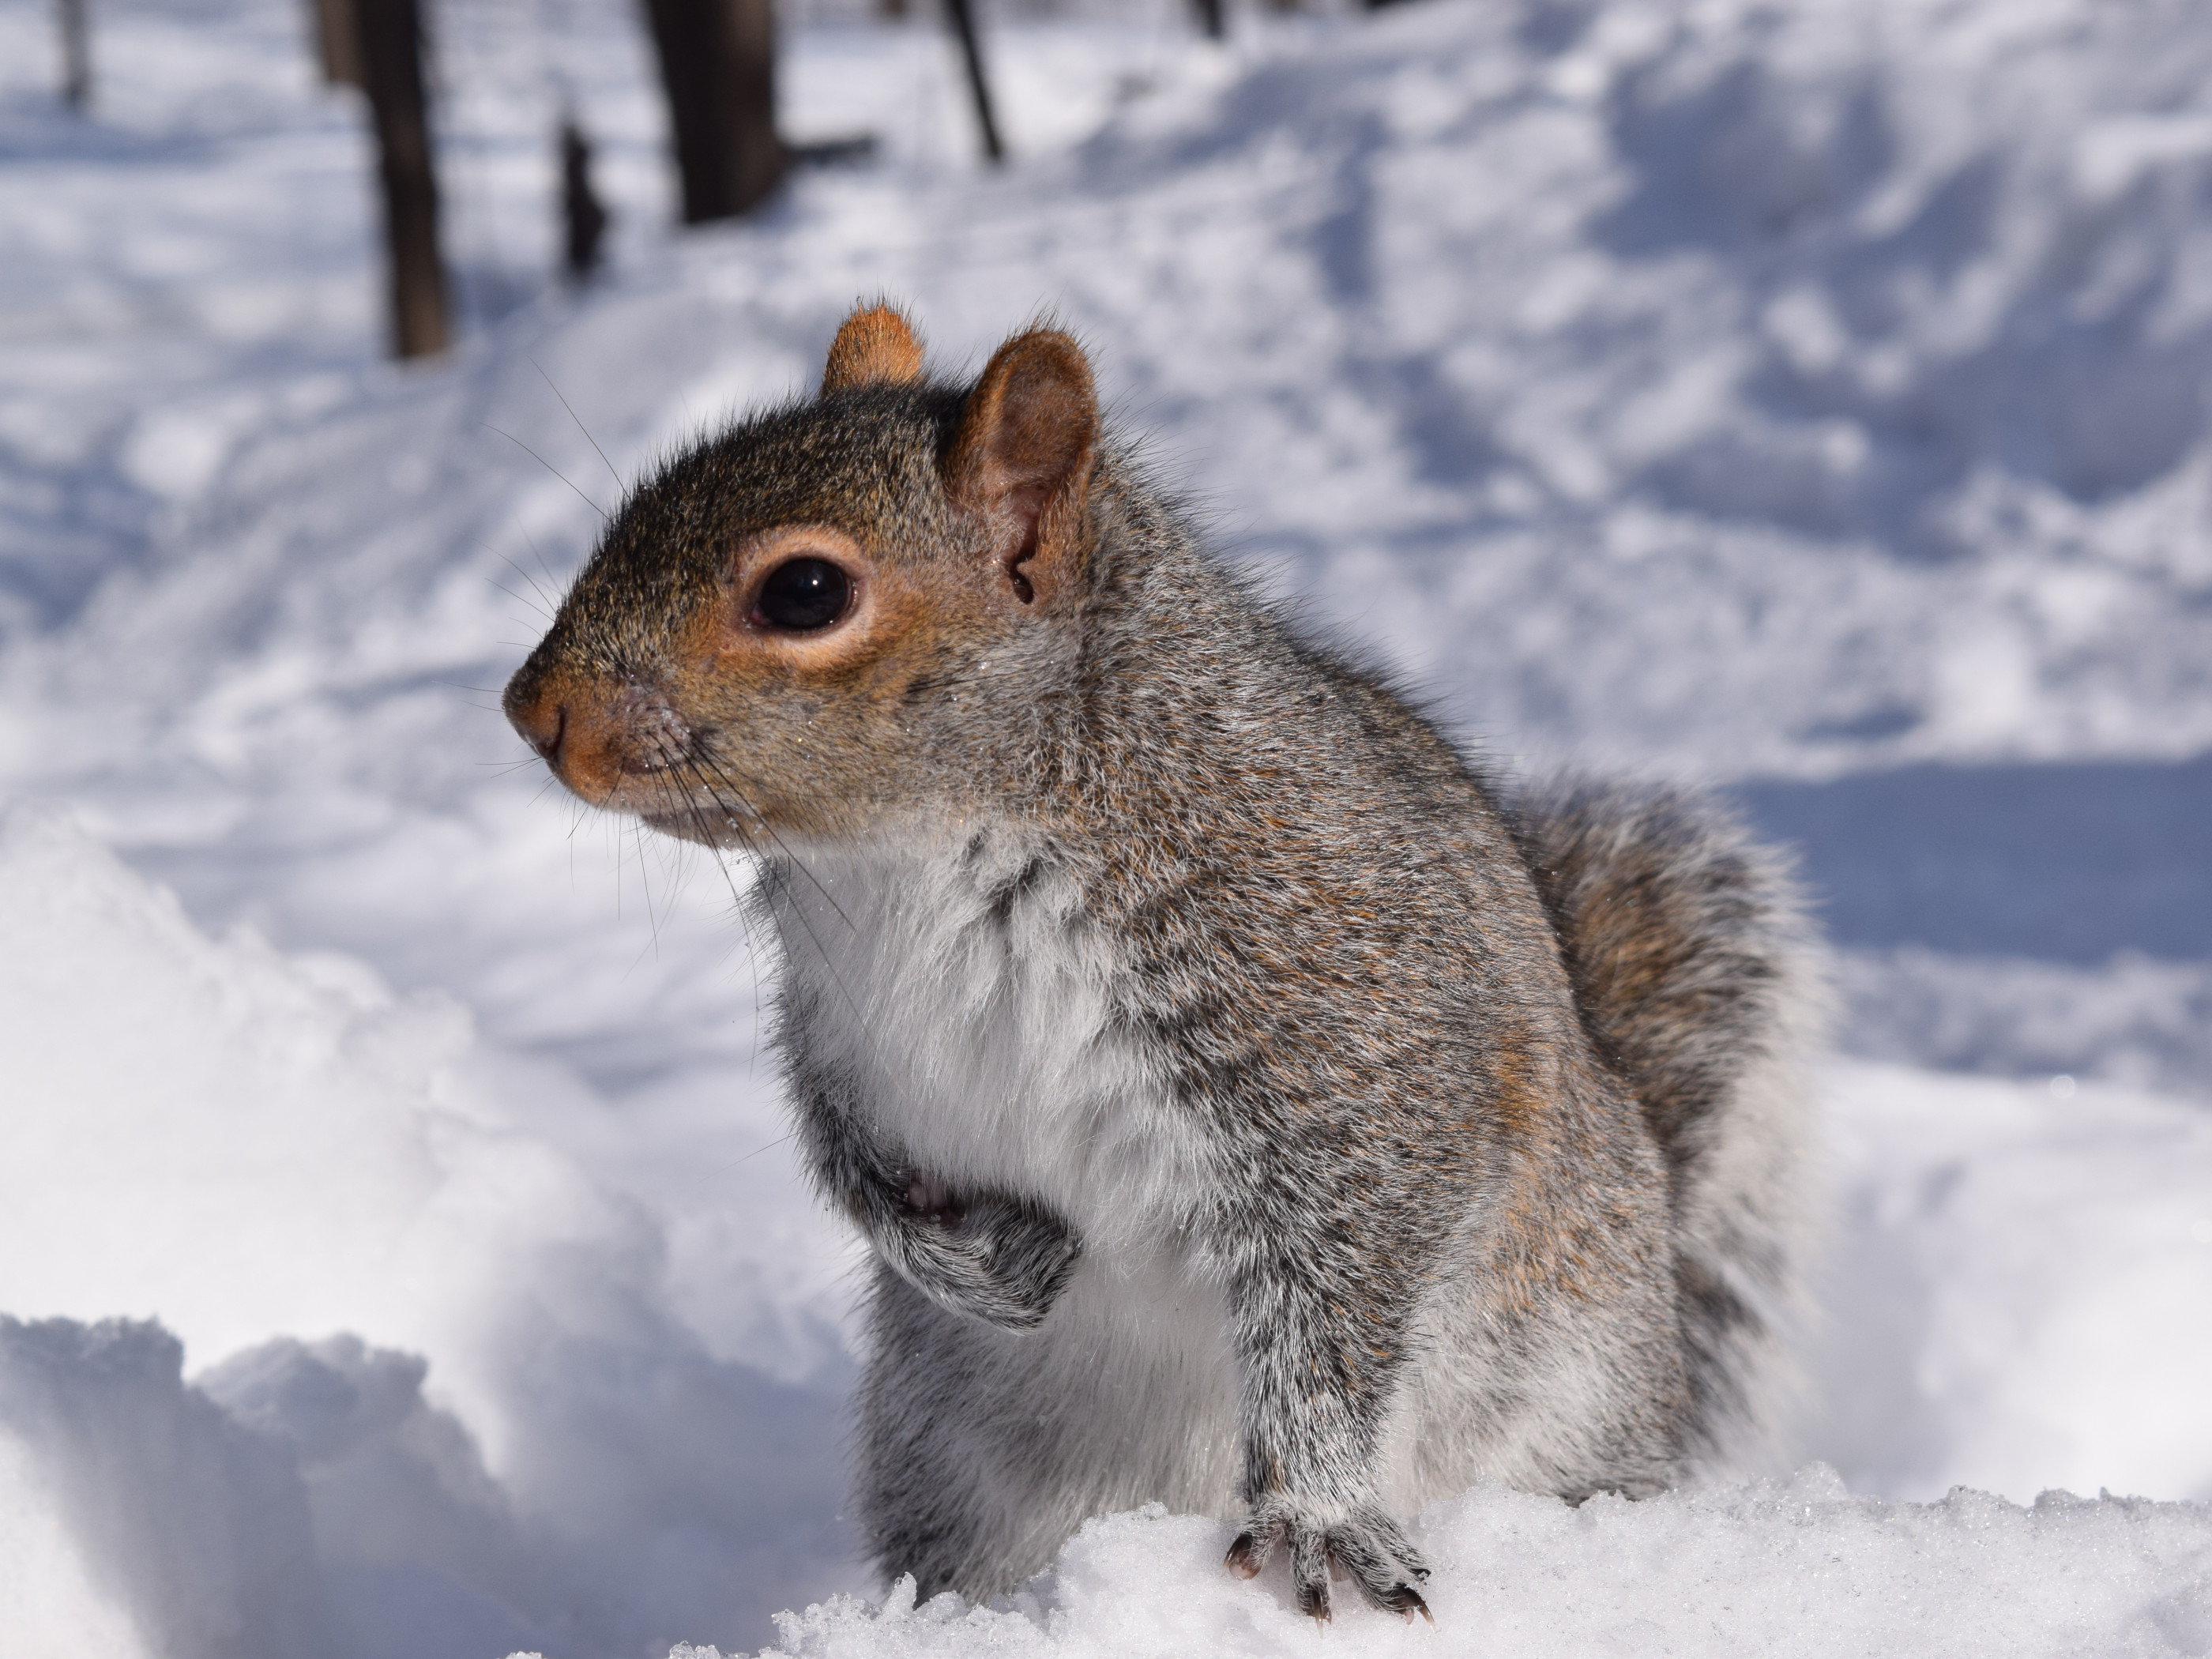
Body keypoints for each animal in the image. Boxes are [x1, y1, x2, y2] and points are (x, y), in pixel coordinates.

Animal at [502, 302, 1822, 1623]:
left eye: (806, 591)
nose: (530, 709)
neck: (914, 853)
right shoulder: (838, 1033)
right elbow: (851, 1167)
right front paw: (981, 1266)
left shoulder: (1347, 1030)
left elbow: (1339, 1283)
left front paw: (1316, 1512)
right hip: (949, 1475)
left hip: (1566, 1403)